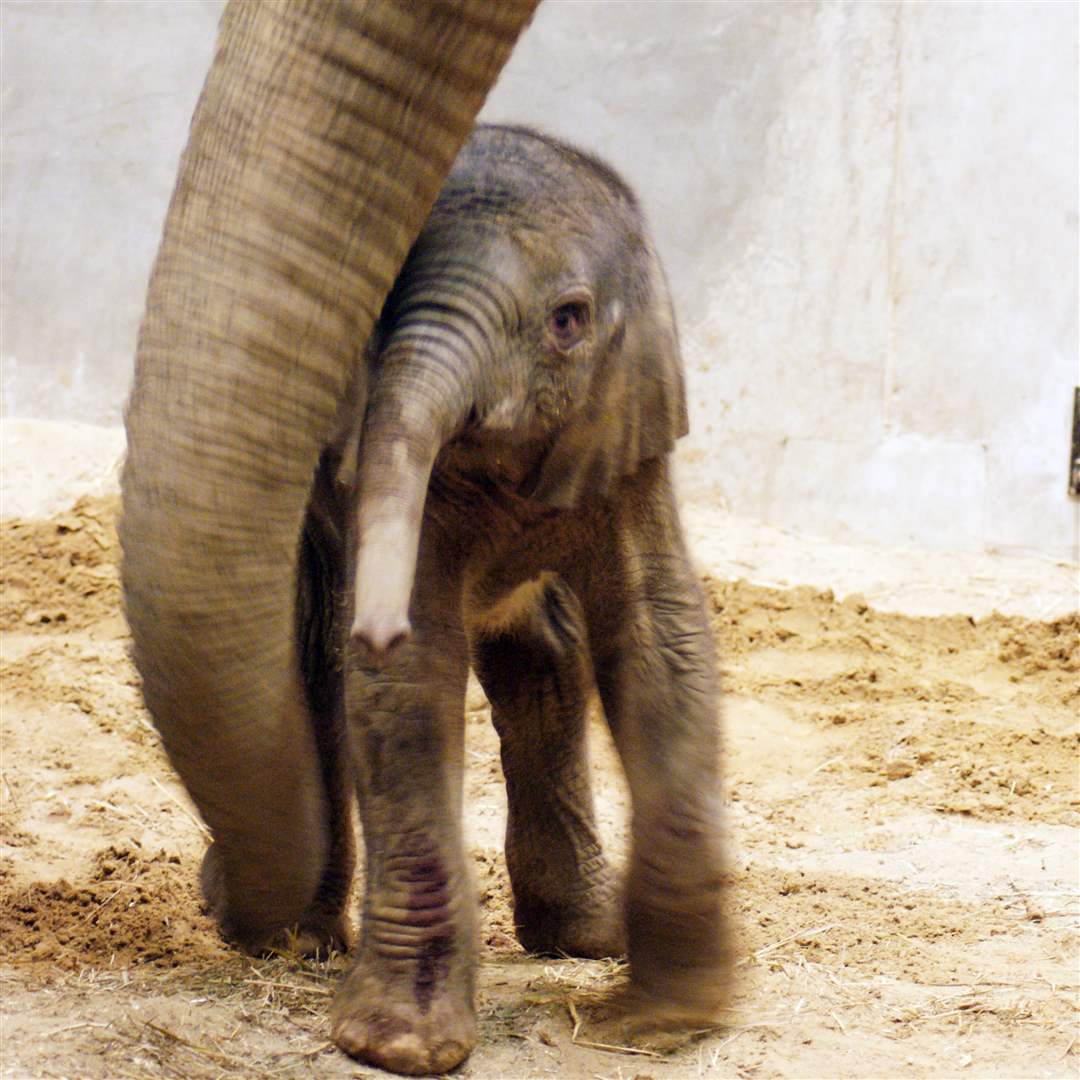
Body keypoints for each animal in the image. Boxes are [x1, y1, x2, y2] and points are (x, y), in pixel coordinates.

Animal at [291, 124, 730, 1071]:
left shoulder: (621, 427)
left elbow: (661, 639)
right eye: (379, 306)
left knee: (544, 654)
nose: (370, 628)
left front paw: (661, 1024)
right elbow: (411, 677)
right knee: (308, 669)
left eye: (568, 320)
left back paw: (585, 937)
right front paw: (399, 1049)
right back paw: (301, 941)